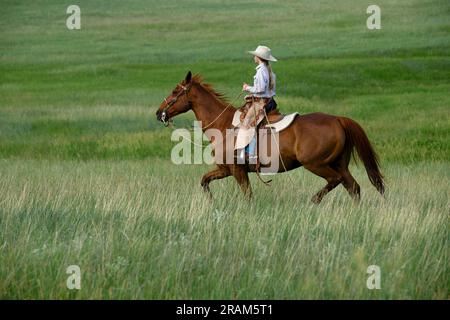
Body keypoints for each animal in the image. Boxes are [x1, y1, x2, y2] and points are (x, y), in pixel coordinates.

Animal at [156, 71, 384, 204]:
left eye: (175, 91)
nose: (159, 113)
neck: (223, 126)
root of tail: (338, 119)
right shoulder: (225, 169)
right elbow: (204, 180)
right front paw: (211, 201)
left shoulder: (237, 170)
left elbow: (248, 196)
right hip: (339, 164)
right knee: (353, 187)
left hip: (316, 164)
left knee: (336, 181)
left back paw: (313, 200)